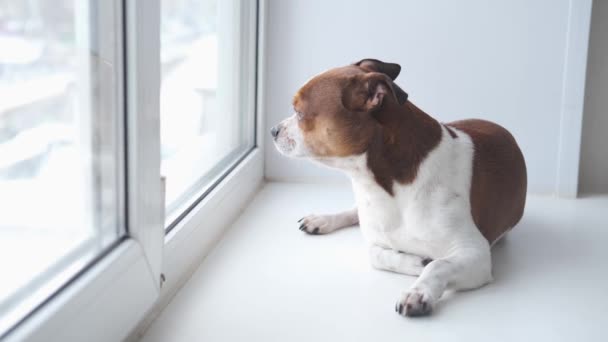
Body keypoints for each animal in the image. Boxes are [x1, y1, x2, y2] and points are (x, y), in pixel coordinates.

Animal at [268, 59, 524, 318]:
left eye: (300, 112)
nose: (273, 130)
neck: (379, 186)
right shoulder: (377, 237)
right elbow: (376, 254)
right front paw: (416, 262)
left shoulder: (475, 253)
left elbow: (438, 264)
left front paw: (418, 291)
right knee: (354, 212)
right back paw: (323, 219)